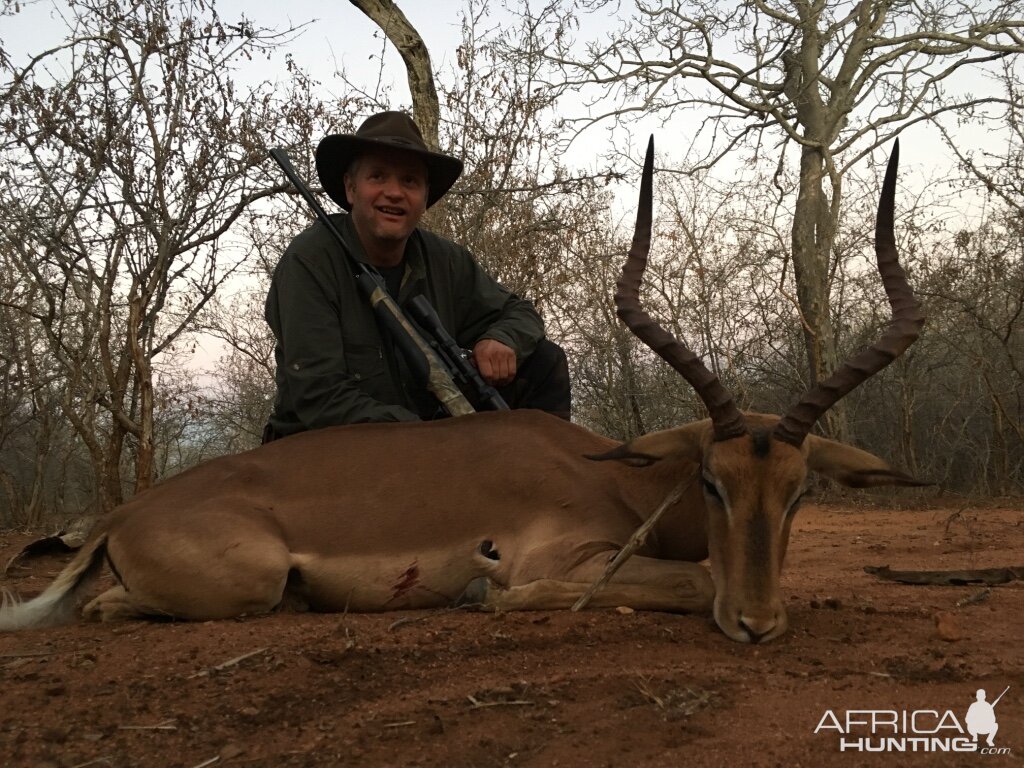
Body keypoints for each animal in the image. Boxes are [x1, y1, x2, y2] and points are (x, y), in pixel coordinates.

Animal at [0, 138, 925, 643]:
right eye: (712, 482)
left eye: (799, 492)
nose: (759, 624)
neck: (614, 477)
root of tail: (122, 515)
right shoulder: (567, 555)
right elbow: (690, 580)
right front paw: (490, 592)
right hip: (250, 580)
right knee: (104, 610)